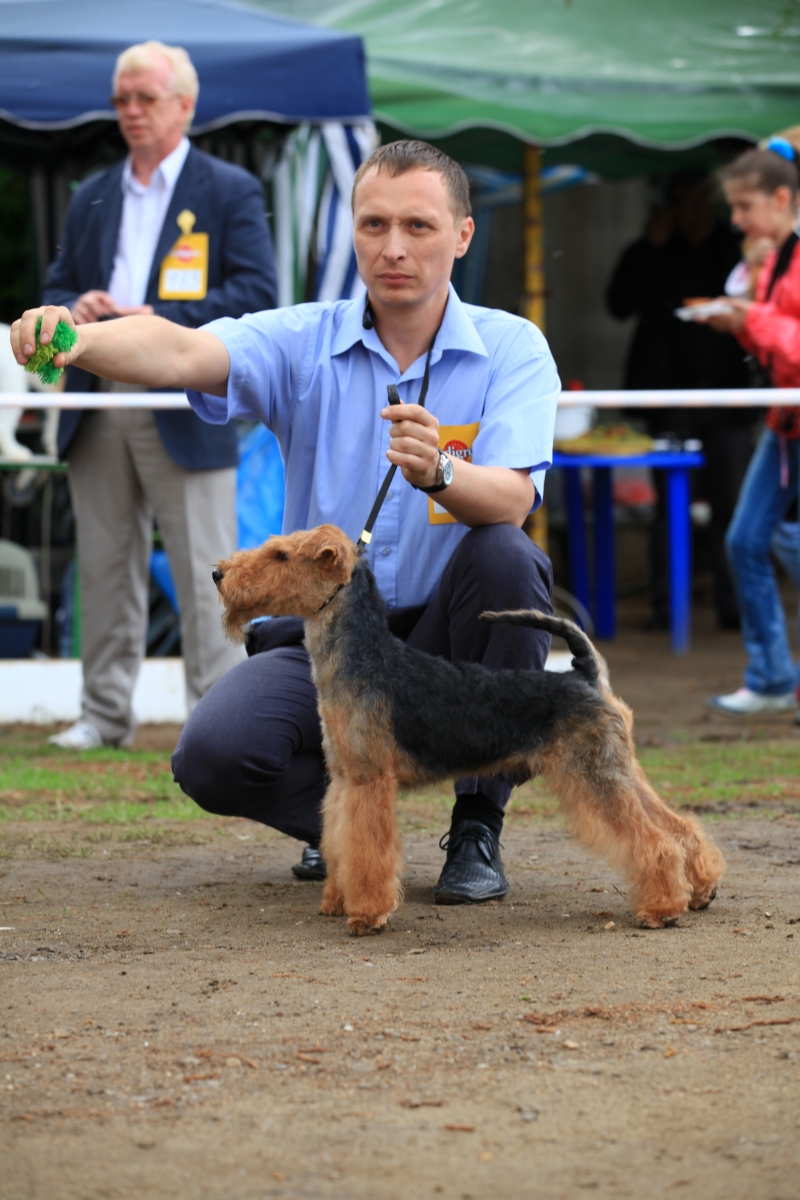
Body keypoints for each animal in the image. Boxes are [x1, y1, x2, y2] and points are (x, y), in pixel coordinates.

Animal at [212, 525, 724, 936]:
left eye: (282, 555)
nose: (218, 573)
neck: (364, 658)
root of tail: (585, 674)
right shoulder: (343, 778)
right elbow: (339, 840)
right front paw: (336, 901)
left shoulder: (368, 781)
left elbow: (366, 851)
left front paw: (367, 915)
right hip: (621, 770)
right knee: (680, 827)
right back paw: (700, 890)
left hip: (596, 776)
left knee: (655, 841)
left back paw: (662, 908)